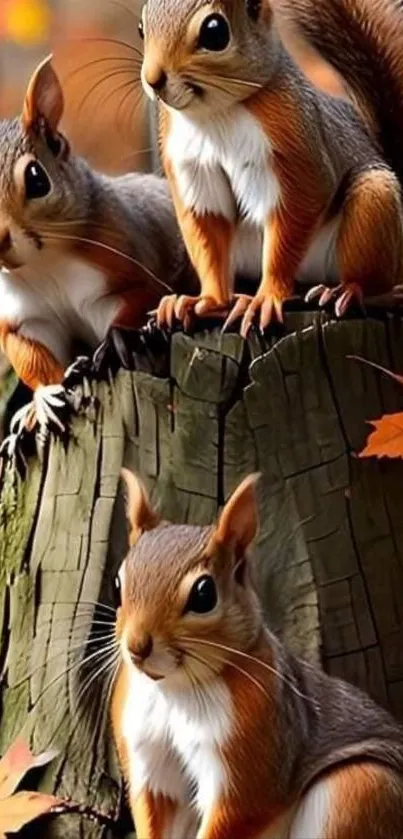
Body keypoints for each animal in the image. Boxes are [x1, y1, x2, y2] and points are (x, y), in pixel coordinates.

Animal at [0, 55, 192, 441]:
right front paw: (44, 399)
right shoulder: (24, 317)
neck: (43, 264)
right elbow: (32, 355)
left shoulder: (124, 264)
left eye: (37, 178)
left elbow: (136, 301)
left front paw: (117, 340)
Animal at [111, 468, 403, 839]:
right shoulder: (150, 757)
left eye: (204, 594)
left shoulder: (252, 752)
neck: (175, 689)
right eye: (117, 584)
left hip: (360, 789)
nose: (137, 647)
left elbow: (236, 813)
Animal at [139, 0, 403, 337]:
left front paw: (267, 299)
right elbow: (209, 234)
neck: (215, 114)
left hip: (375, 203)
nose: (153, 79)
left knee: (380, 284)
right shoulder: (191, 166)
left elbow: (292, 220)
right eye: (141, 28)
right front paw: (204, 300)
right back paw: (236, 300)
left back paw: (348, 290)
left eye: (215, 32)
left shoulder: (296, 149)